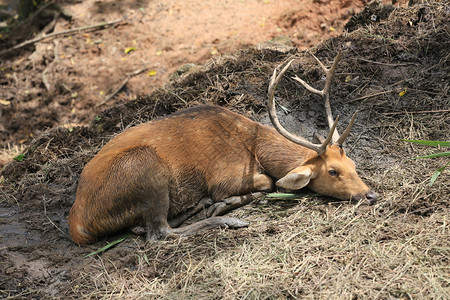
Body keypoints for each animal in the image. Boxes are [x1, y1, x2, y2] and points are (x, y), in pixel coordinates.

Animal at [67, 52, 376, 244]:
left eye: (353, 165)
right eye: (333, 172)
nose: (369, 194)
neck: (254, 149)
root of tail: (78, 224)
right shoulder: (223, 178)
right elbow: (270, 182)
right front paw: (225, 204)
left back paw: (200, 206)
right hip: (144, 165)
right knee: (157, 233)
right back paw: (227, 220)